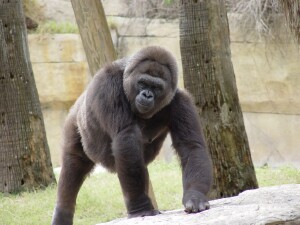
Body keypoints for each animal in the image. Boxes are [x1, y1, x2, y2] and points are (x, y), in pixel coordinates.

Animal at [51, 46, 212, 225]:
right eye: (142, 83)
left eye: (156, 87)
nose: (147, 95)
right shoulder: (108, 84)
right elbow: (126, 138)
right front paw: (140, 208)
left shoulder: (182, 101)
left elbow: (190, 147)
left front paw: (195, 196)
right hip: (75, 120)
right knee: (73, 165)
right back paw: (62, 212)